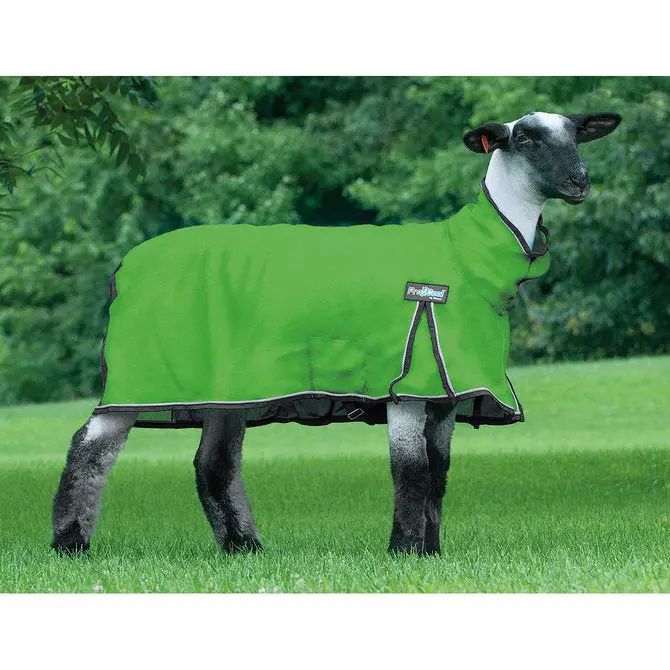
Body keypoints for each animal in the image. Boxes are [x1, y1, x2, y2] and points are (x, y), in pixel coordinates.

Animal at [52, 110, 622, 557]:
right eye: (524, 138)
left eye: (576, 133)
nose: (581, 182)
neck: (467, 256)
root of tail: (124, 268)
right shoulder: (407, 381)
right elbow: (412, 472)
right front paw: (404, 552)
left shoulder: (446, 389)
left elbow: (439, 474)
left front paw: (433, 552)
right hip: (139, 372)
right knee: (90, 448)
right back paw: (70, 544)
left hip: (229, 384)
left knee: (213, 463)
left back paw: (244, 548)